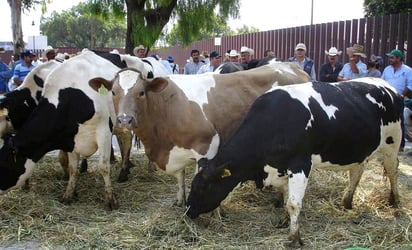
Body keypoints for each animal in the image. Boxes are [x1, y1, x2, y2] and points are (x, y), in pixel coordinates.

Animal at [89, 62, 308, 205]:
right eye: (114, 92)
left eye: (141, 92)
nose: (124, 120)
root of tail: (293, 66)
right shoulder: (174, 150)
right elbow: (180, 178)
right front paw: (179, 200)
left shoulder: (207, 146)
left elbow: (202, 178)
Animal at [187, 77, 402, 246]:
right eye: (193, 185)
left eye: (203, 187)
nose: (188, 211)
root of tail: (385, 84)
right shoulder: (280, 168)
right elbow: (285, 198)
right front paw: (284, 221)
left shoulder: (300, 165)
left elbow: (293, 203)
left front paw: (294, 238)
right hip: (359, 150)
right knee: (357, 171)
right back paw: (347, 202)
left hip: (392, 143)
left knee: (393, 170)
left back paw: (396, 202)